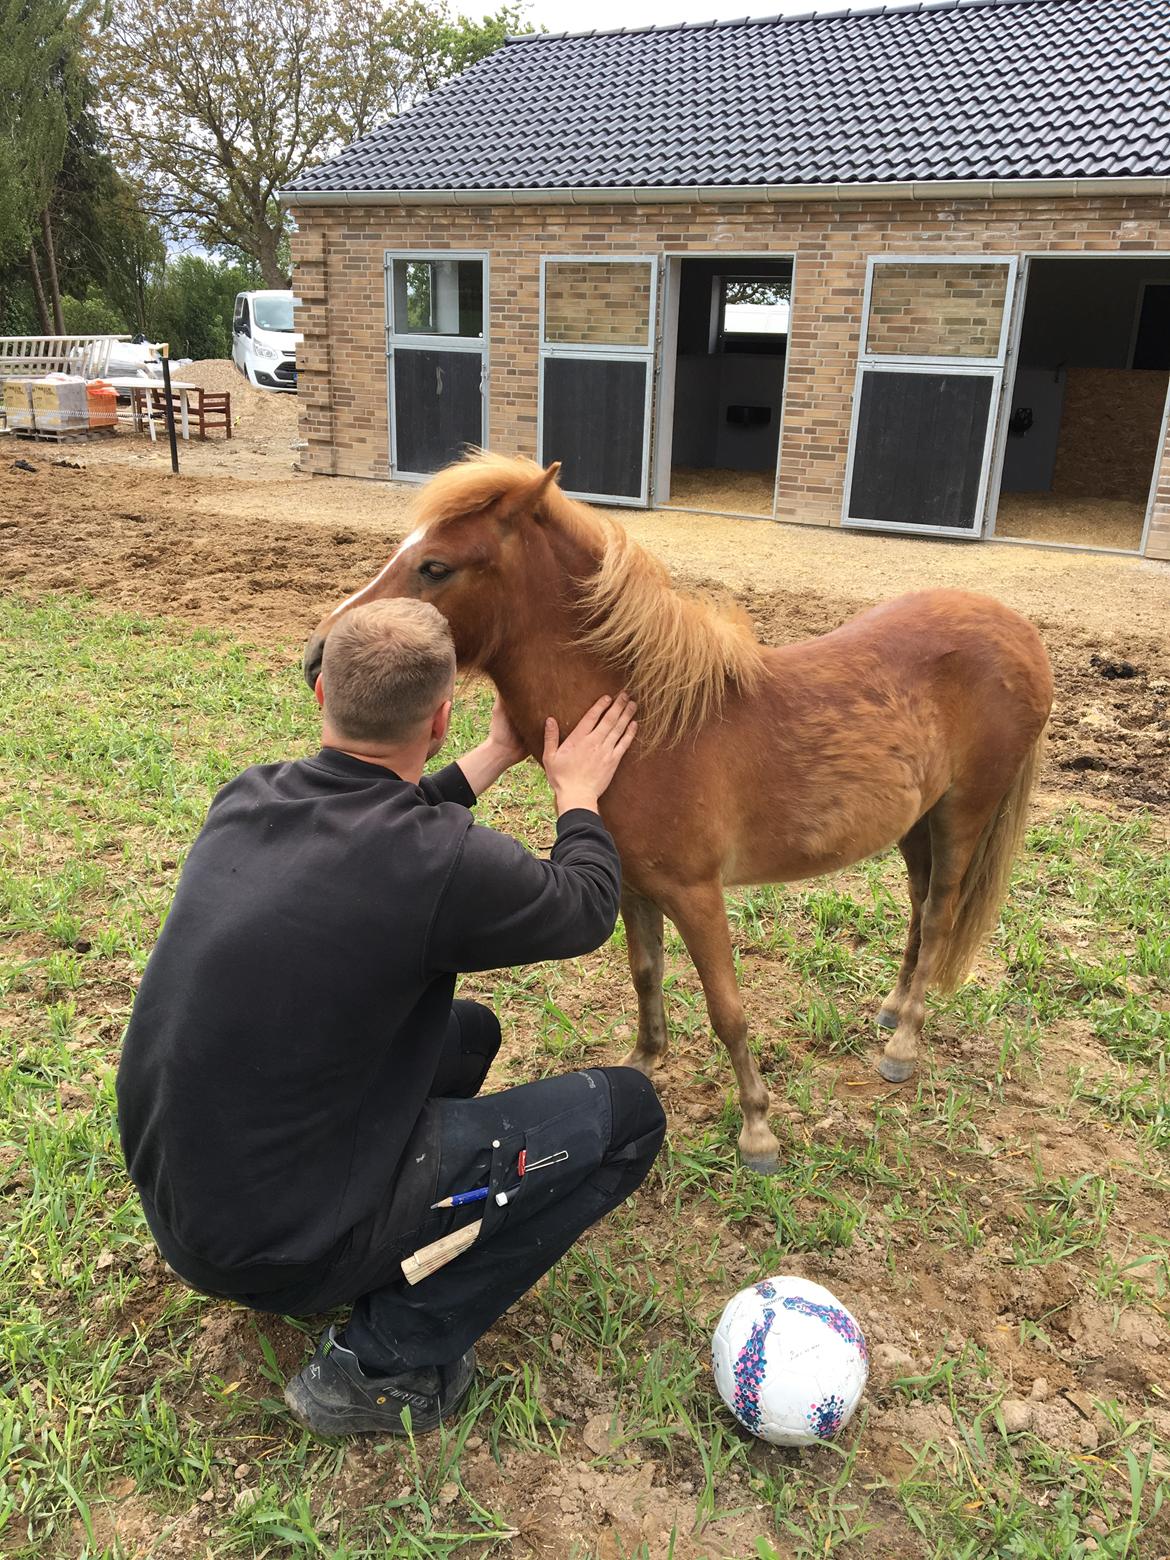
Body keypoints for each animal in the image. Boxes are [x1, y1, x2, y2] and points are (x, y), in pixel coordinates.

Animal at [302, 452, 1054, 1173]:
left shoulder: (696, 892)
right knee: (921, 910)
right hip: (916, 823)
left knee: (940, 916)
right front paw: (643, 1064)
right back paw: (893, 1011)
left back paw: (902, 1045)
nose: (318, 657)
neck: (653, 723)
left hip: (964, 813)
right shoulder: (635, 885)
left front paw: (757, 1132)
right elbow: (646, 975)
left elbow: (728, 1011)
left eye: (436, 565)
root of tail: (1019, 631)